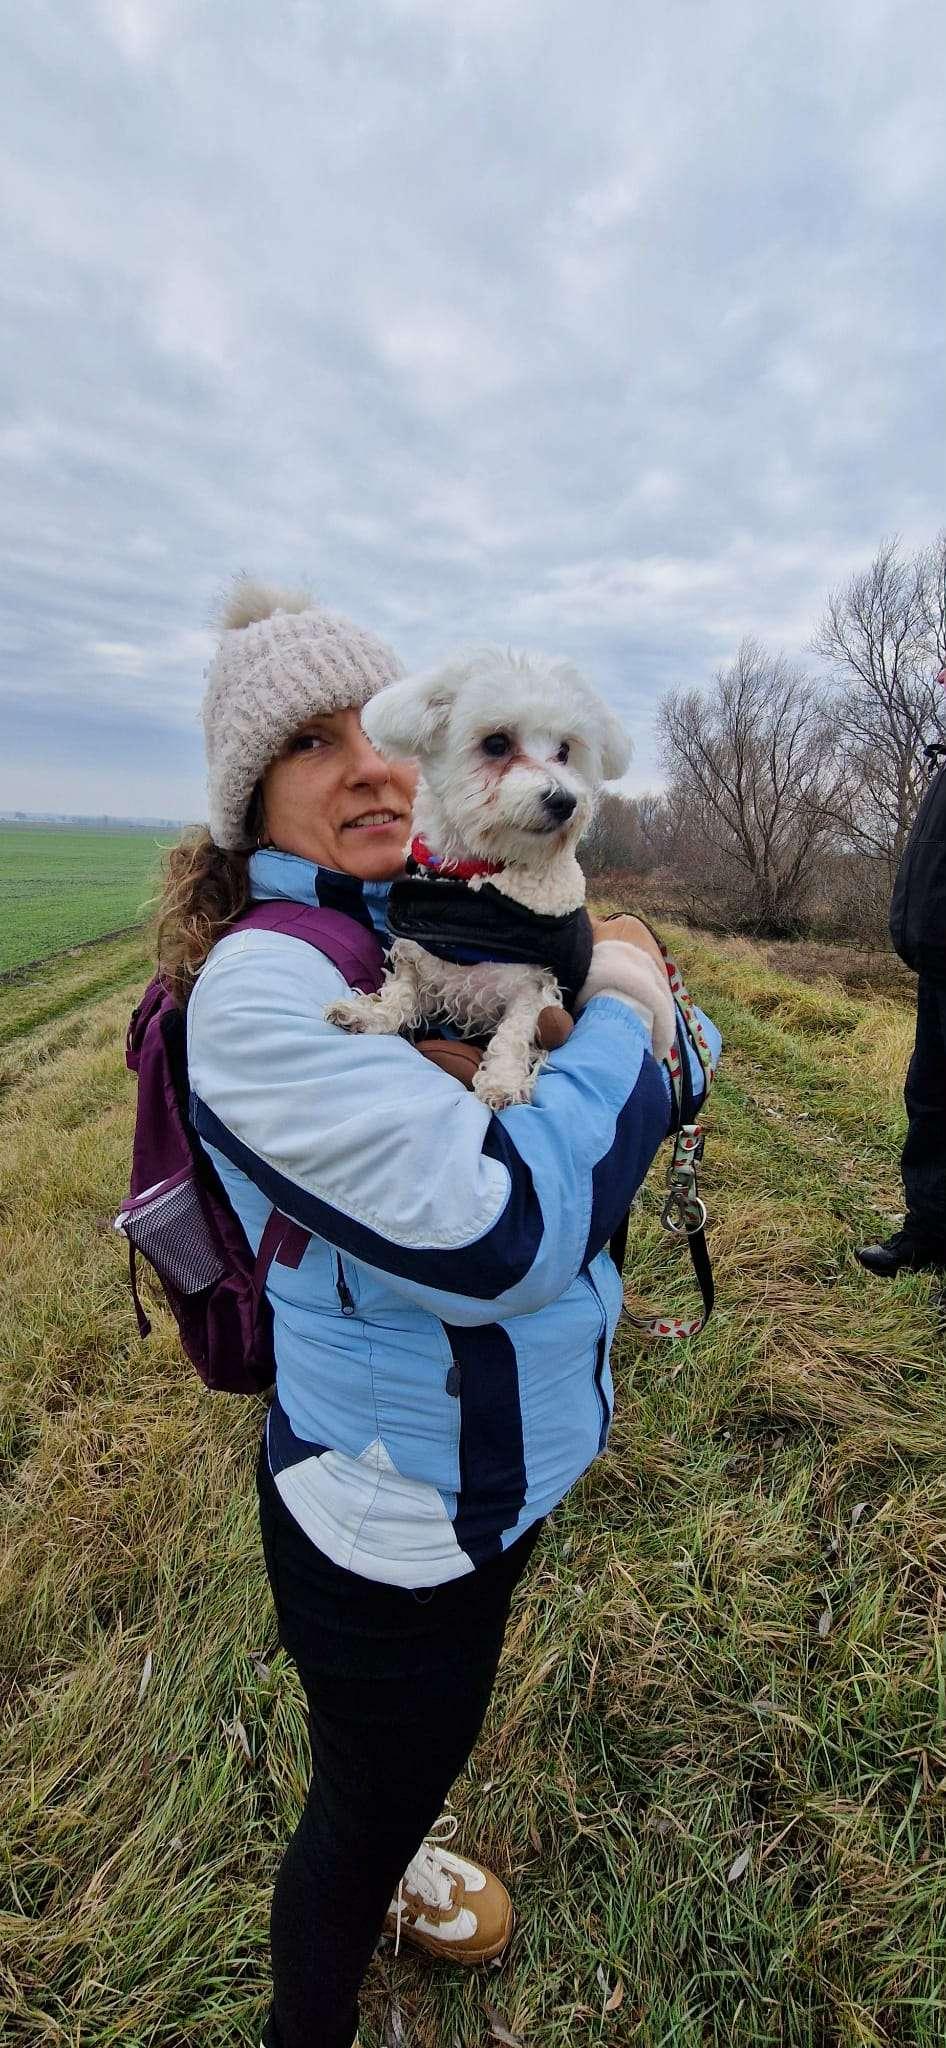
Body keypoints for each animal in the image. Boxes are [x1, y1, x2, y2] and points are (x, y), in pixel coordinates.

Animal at [325, 647, 633, 1109]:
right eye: (496, 744)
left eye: (564, 750)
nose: (564, 800)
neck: (473, 889)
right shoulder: (416, 958)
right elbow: (401, 993)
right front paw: (372, 1014)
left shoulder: (535, 983)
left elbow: (516, 1030)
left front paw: (503, 1080)